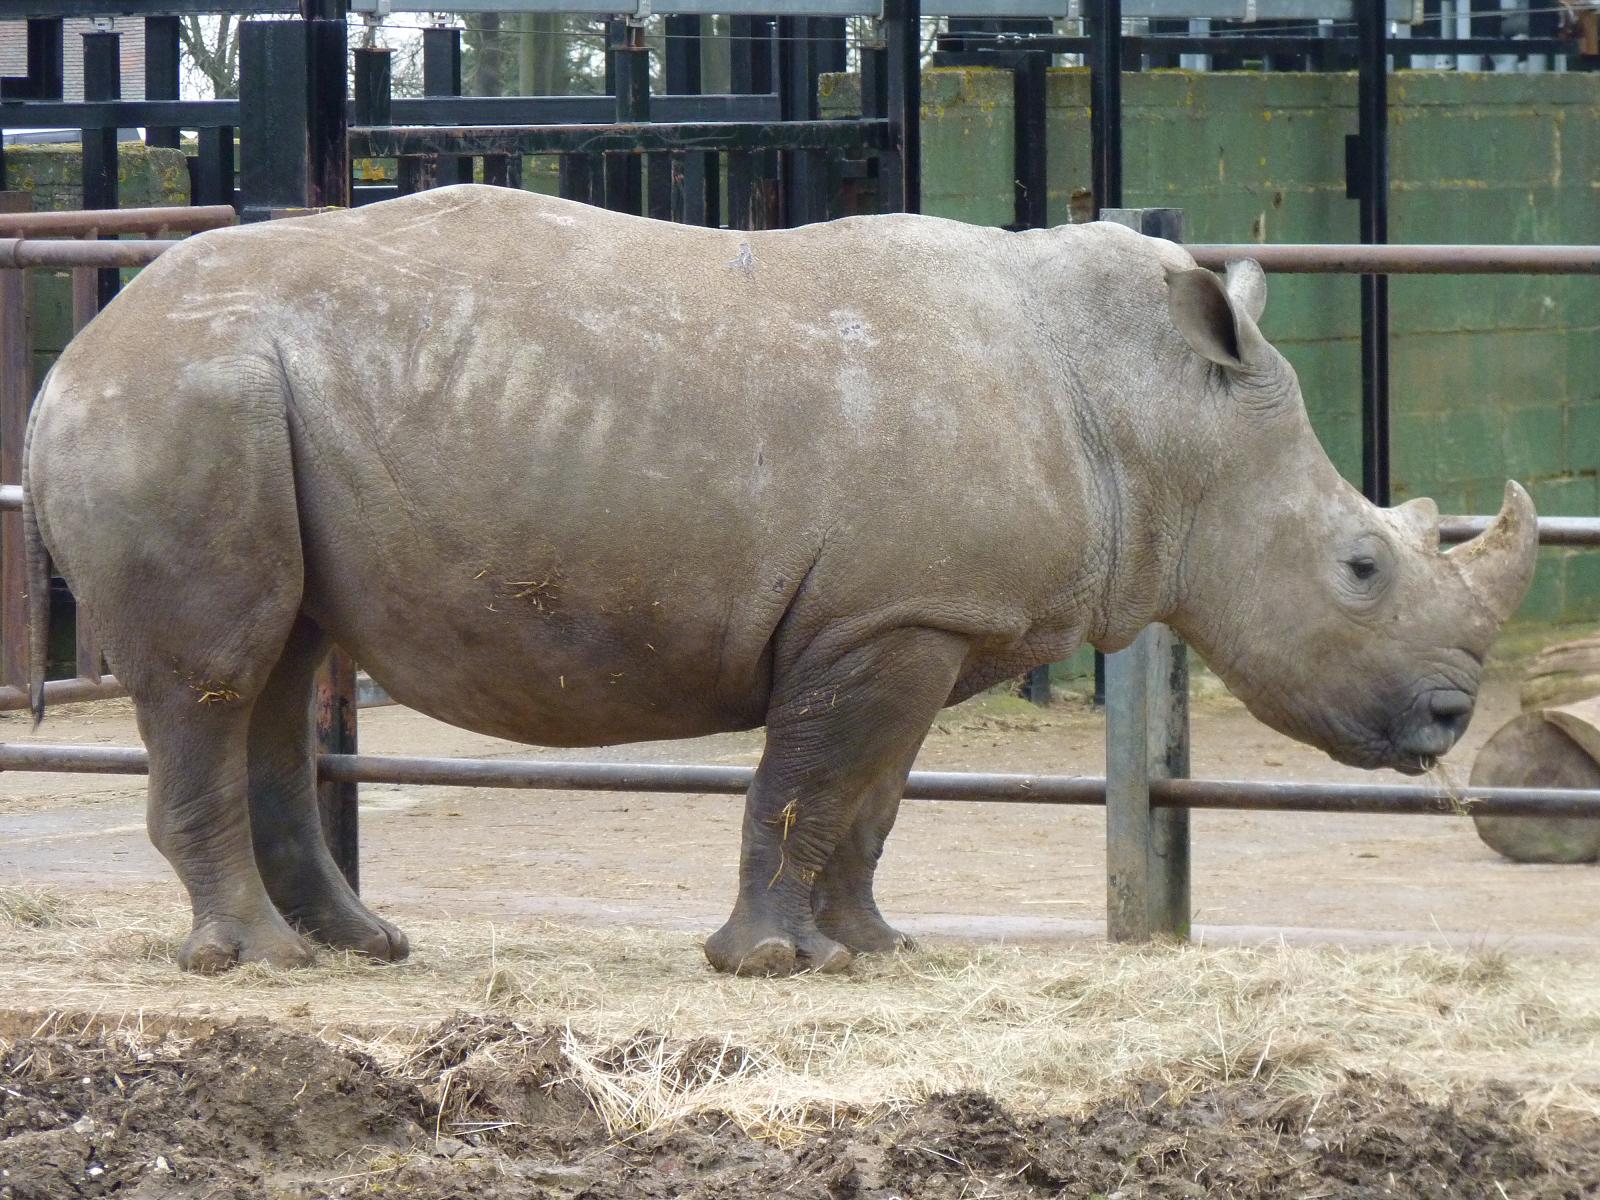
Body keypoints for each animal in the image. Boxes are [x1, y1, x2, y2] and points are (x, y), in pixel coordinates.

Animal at [23, 186, 1537, 976]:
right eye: (1359, 567)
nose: (1450, 723)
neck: (1159, 415)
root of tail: (67, 362)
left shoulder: (923, 623)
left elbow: (871, 802)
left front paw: (876, 952)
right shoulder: (882, 619)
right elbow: (809, 786)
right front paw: (764, 964)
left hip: (234, 402)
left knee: (283, 663)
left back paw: (362, 949)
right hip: (183, 398)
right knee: (221, 675)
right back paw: (255, 962)